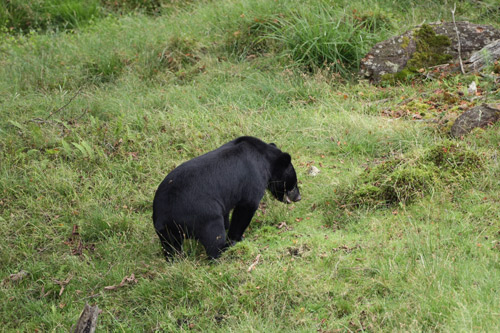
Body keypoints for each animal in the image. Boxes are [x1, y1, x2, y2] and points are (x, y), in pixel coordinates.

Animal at [152, 136, 300, 260]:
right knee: (213, 235)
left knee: (171, 246)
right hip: (202, 213)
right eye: (294, 184)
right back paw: (224, 250)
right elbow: (246, 206)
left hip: (167, 231)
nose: (298, 197)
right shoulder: (252, 178)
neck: (264, 157)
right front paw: (236, 238)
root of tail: (164, 218)